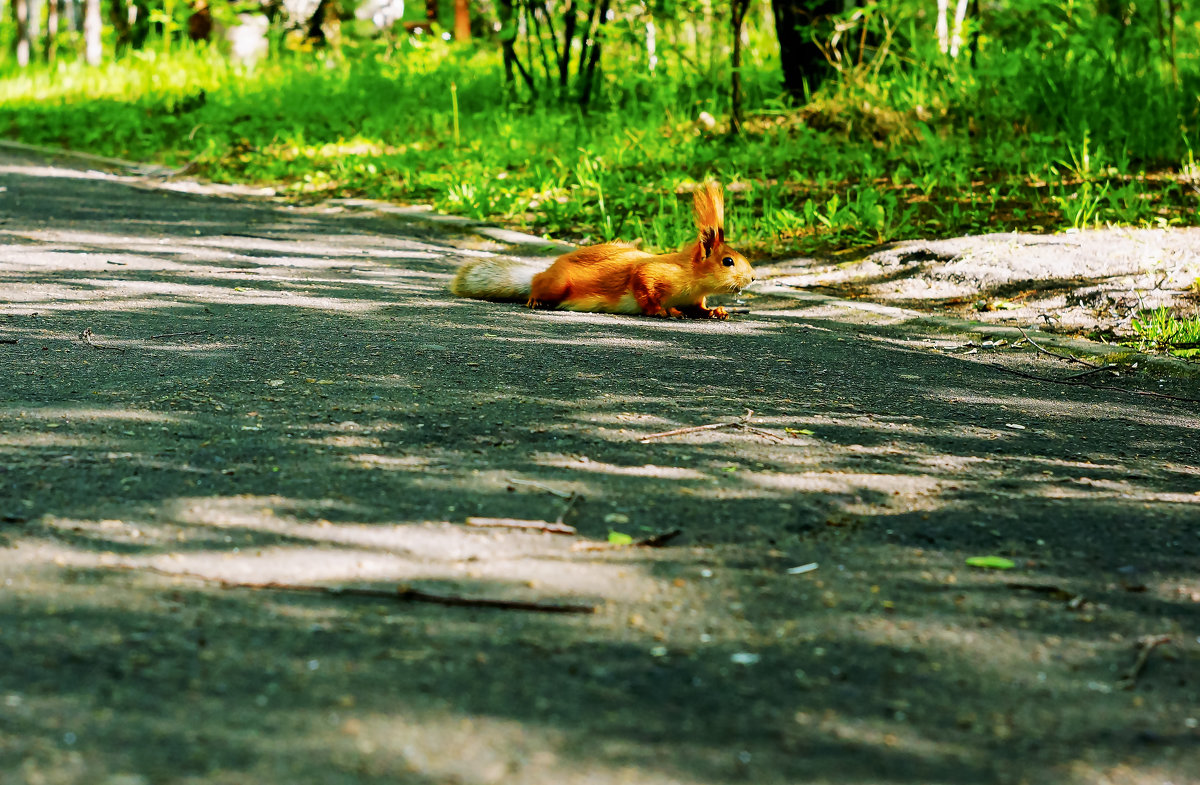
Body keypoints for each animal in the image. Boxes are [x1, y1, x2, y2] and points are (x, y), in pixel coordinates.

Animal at [451, 182, 748, 319]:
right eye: (728, 261)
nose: (753, 278)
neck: (693, 279)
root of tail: (545, 271)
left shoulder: (693, 299)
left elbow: (699, 308)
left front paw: (716, 311)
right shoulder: (653, 272)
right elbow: (642, 285)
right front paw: (661, 310)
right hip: (557, 284)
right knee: (539, 286)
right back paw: (535, 298)